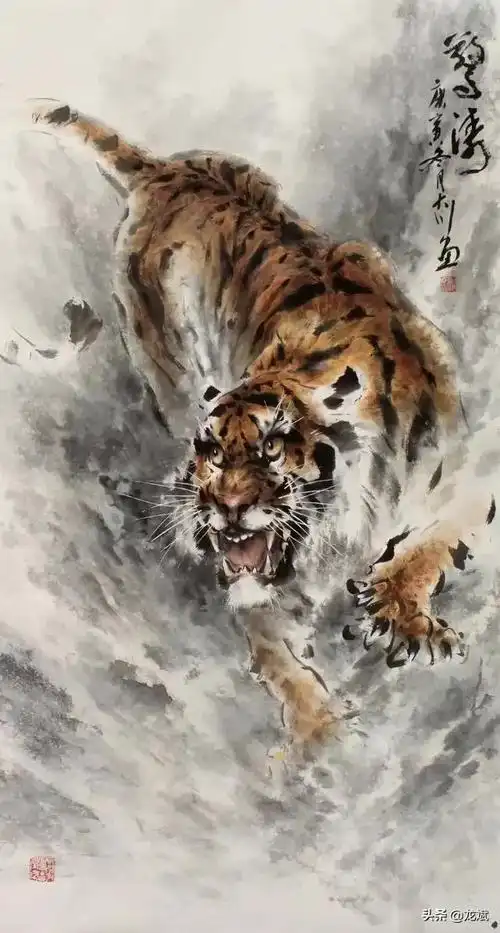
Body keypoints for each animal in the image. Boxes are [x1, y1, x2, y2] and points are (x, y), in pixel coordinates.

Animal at [26, 98, 496, 760]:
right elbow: (278, 659)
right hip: (167, 373)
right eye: (211, 454)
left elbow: (428, 546)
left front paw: (400, 613)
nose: (224, 510)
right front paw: (318, 737)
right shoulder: (267, 589)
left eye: (273, 447)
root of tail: (164, 169)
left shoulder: (471, 477)